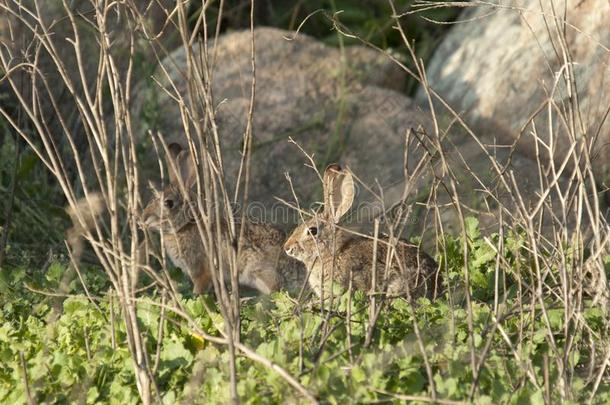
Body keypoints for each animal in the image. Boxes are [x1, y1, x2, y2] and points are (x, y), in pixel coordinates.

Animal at [141, 143, 304, 294]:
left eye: (168, 203)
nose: (142, 220)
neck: (185, 226)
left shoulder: (201, 271)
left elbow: (199, 288)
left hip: (259, 271)